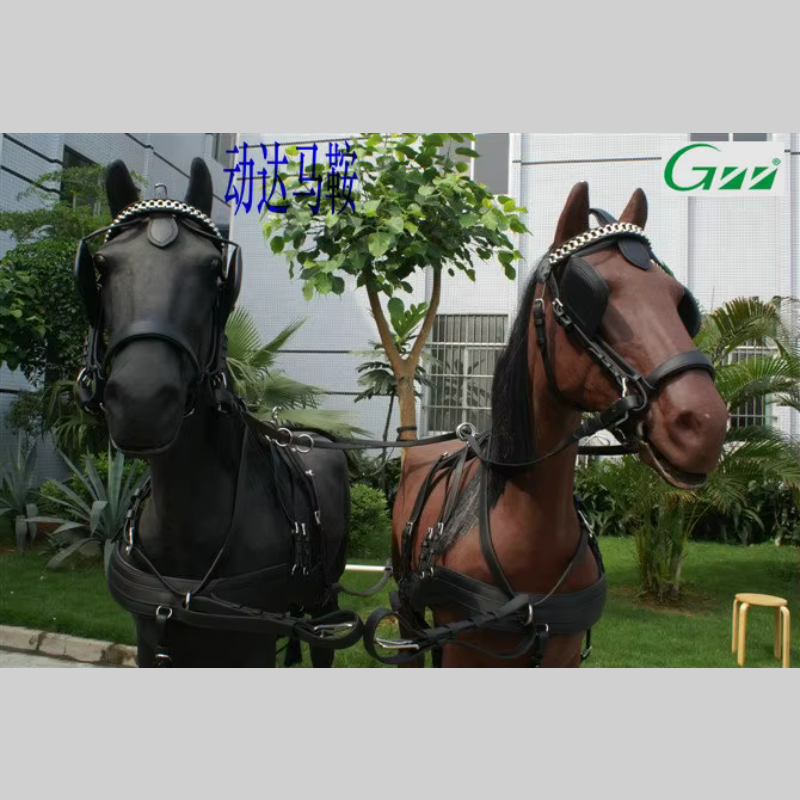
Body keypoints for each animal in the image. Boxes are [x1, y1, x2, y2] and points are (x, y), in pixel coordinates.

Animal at [74, 158, 361, 667]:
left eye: (212, 269)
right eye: (102, 266)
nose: (143, 401)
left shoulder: (251, 644)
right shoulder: (153, 640)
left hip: (324, 599)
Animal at [379, 182, 729, 668]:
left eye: (679, 300)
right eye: (588, 295)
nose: (706, 424)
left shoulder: (562, 650)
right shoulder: (464, 651)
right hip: (410, 618)